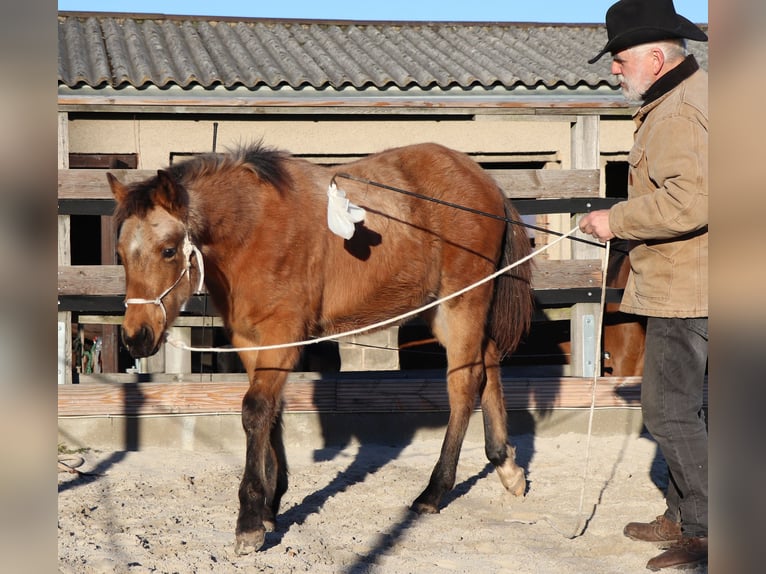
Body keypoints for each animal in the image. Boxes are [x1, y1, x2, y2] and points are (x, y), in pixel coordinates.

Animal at [108, 142, 536, 556]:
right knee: (489, 361)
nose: (136, 336)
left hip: (461, 304)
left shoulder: (281, 333)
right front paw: (270, 506)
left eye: (168, 250)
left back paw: (435, 490)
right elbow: (270, 412)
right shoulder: (251, 340)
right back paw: (506, 464)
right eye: (121, 253)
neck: (253, 227)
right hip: (444, 310)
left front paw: (250, 521)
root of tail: (485, 181)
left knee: (464, 385)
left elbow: (255, 410)